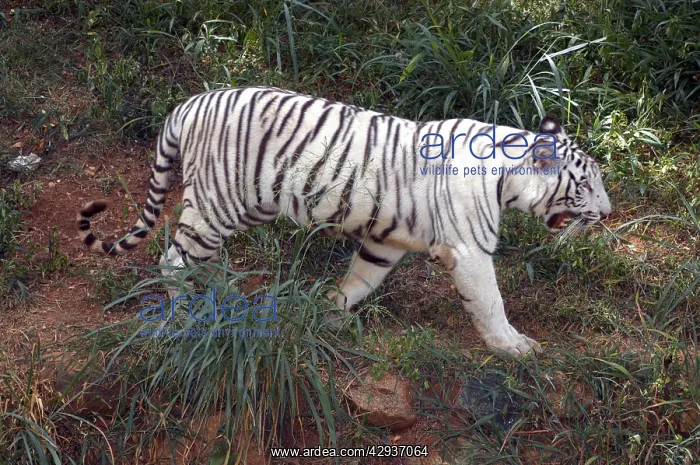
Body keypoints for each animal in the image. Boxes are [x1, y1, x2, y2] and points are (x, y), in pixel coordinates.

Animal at [77, 86, 611, 357]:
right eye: (586, 185)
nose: (608, 214)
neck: (507, 176)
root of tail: (188, 104)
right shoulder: (469, 250)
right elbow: (491, 301)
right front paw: (513, 346)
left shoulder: (385, 243)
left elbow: (359, 281)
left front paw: (329, 315)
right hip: (217, 204)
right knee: (173, 260)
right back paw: (190, 313)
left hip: (240, 208)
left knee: (197, 259)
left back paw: (224, 292)